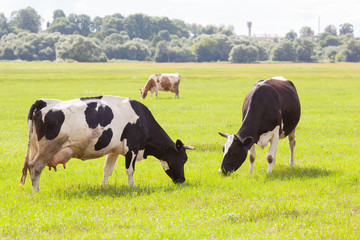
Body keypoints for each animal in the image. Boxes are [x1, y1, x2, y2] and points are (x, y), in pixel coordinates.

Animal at [19, 94, 194, 190]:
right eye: (183, 159)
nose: (182, 180)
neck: (142, 120)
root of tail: (45, 102)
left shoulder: (114, 150)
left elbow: (107, 170)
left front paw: (103, 187)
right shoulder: (132, 148)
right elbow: (130, 170)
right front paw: (132, 187)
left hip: (36, 148)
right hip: (47, 149)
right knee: (34, 168)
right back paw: (36, 192)